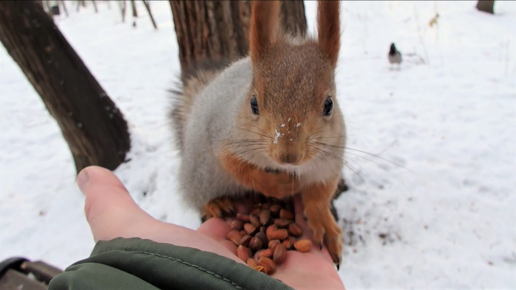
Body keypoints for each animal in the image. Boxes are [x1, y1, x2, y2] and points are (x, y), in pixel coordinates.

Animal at [171, 0, 344, 268]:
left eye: (329, 105)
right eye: (254, 103)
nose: (287, 156)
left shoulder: (330, 160)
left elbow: (319, 196)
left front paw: (324, 225)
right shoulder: (228, 140)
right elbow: (240, 169)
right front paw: (278, 185)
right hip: (200, 176)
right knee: (199, 197)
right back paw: (215, 203)